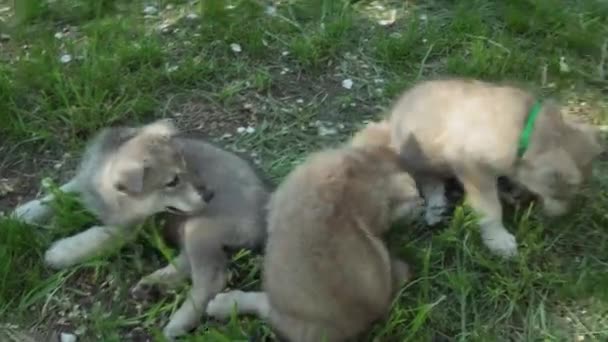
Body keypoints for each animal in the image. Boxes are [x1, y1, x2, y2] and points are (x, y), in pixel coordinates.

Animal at [358, 79, 600, 258]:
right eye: (563, 193)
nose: (563, 217)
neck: (524, 130)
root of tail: (390, 123)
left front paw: (514, 190)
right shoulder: (473, 168)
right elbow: (491, 209)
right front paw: (498, 240)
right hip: (420, 158)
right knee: (428, 181)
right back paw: (435, 207)